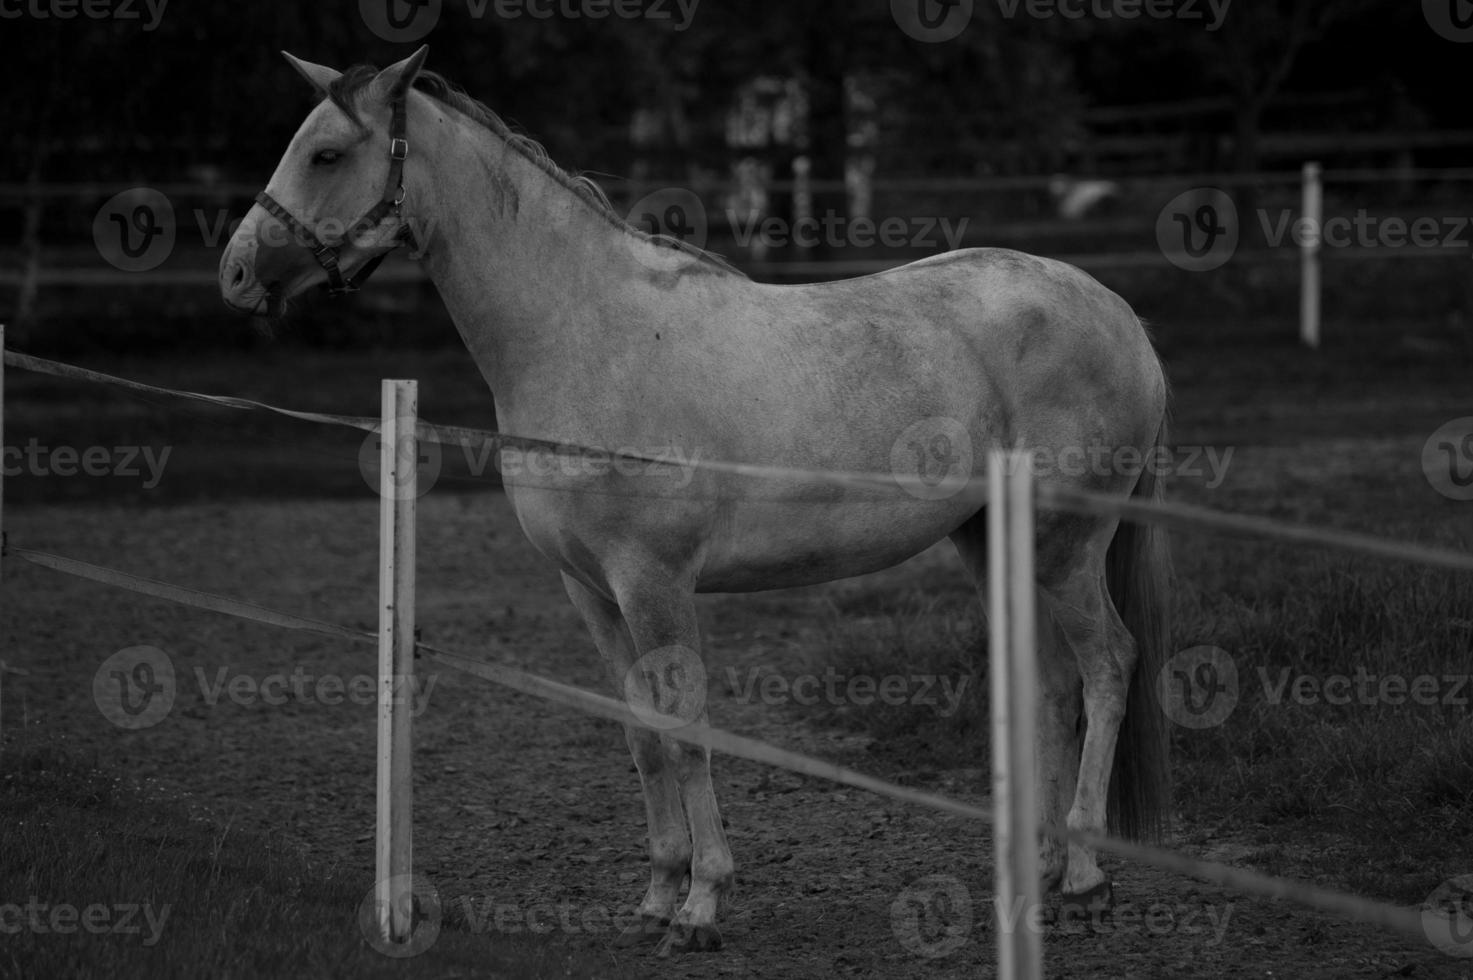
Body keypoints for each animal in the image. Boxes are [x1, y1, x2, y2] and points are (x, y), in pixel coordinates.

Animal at [218, 47, 1166, 954]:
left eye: (327, 153)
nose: (234, 272)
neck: (587, 336)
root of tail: (1117, 312)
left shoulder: (654, 582)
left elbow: (685, 726)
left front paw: (702, 905)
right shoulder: (588, 590)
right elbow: (640, 734)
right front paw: (655, 896)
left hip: (1067, 543)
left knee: (1106, 666)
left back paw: (1086, 879)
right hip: (993, 539)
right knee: (1050, 685)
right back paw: (1039, 874)